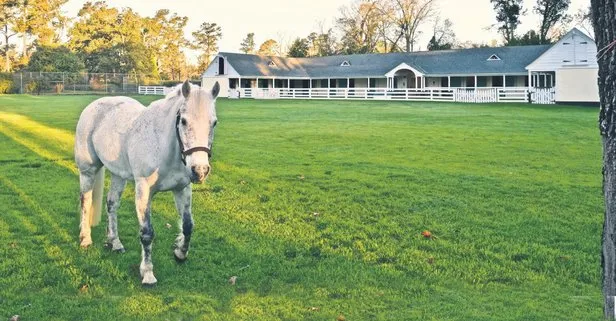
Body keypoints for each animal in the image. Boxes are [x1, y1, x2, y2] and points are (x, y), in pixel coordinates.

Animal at [74, 79, 219, 282]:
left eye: (214, 123)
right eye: (183, 121)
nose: (200, 170)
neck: (164, 148)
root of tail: (93, 106)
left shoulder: (182, 189)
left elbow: (188, 225)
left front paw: (180, 253)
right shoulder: (143, 191)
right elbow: (147, 232)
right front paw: (148, 273)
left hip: (119, 175)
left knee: (112, 204)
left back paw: (115, 242)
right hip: (88, 170)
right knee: (85, 201)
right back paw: (85, 238)